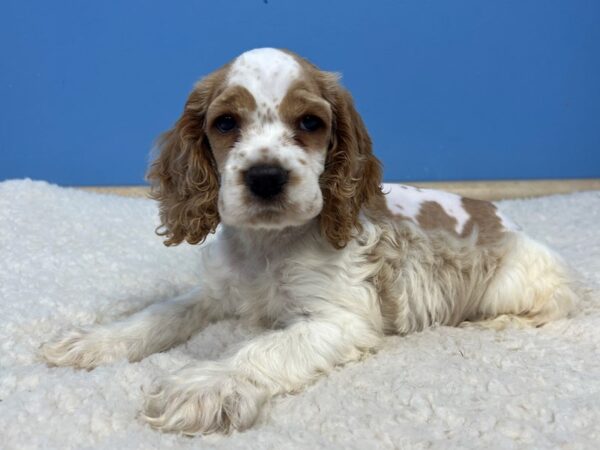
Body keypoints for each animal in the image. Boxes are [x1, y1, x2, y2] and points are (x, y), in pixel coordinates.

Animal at [39, 47, 580, 434]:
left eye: (311, 123)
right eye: (225, 123)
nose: (266, 177)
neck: (266, 246)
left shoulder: (338, 319)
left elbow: (264, 349)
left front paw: (206, 385)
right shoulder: (216, 291)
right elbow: (164, 313)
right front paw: (95, 341)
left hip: (514, 285)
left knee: (550, 308)